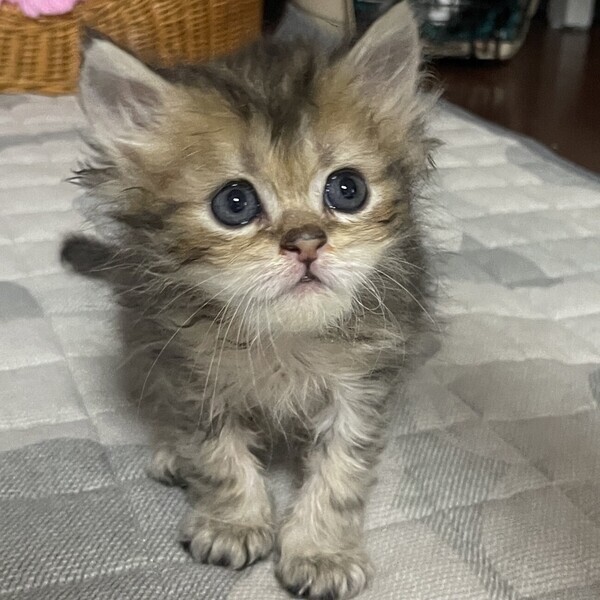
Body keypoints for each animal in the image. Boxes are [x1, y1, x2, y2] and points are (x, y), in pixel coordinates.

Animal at [61, 3, 436, 598]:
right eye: (234, 203)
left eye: (347, 189)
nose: (306, 242)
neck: (284, 338)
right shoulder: (192, 370)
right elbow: (218, 454)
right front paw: (232, 521)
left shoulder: (362, 384)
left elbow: (341, 472)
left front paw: (322, 551)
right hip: (141, 331)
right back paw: (171, 452)